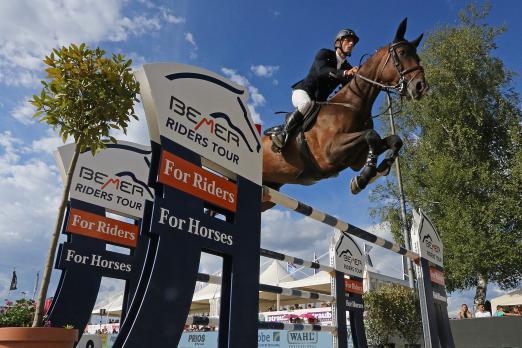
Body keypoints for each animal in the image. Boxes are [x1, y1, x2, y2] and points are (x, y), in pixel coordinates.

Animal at [260, 19, 426, 211]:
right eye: (402, 53)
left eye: (418, 58)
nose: (421, 87)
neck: (353, 105)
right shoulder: (330, 152)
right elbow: (372, 136)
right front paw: (364, 177)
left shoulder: (355, 159)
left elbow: (392, 140)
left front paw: (379, 169)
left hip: (268, 194)